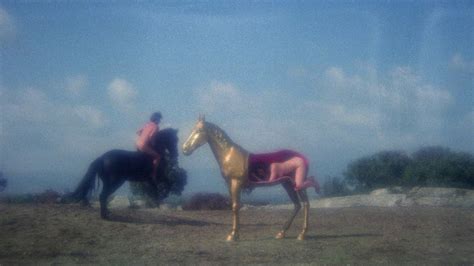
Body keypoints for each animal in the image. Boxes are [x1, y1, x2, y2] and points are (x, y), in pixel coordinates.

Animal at [183, 116, 312, 241]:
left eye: (199, 130)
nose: (185, 149)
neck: (228, 155)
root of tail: (302, 158)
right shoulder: (230, 184)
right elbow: (234, 205)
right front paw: (235, 233)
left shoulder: (236, 183)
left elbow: (235, 206)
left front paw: (233, 235)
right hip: (287, 184)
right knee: (297, 205)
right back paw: (281, 233)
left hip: (297, 183)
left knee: (305, 204)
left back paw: (302, 234)